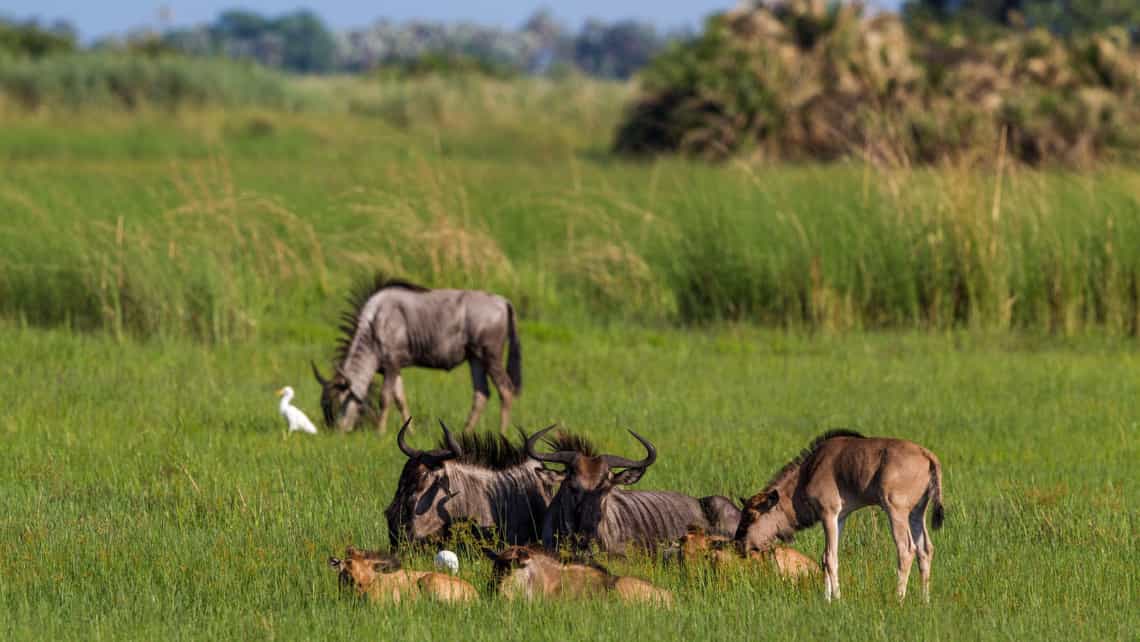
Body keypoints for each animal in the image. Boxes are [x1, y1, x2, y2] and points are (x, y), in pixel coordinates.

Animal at [734, 431, 948, 602]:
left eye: (751, 515)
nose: (739, 545)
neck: (809, 470)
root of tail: (927, 455)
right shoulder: (840, 517)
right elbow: (825, 556)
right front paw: (826, 598)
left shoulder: (828, 513)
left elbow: (830, 557)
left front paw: (836, 598)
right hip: (916, 513)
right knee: (925, 549)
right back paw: (924, 600)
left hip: (896, 511)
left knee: (906, 549)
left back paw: (898, 598)